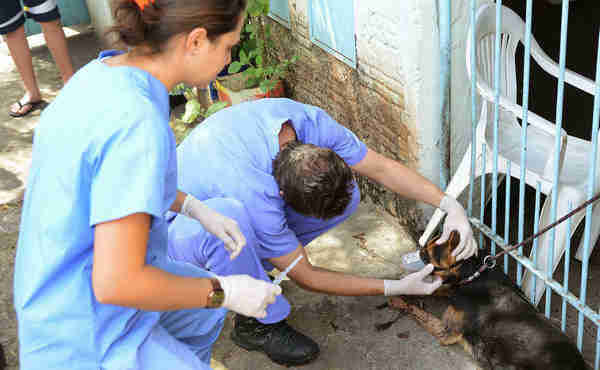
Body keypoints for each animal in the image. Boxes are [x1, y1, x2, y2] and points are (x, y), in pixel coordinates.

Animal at [390, 231, 584, 370]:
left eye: (426, 254)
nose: (418, 251)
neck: (475, 273)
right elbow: (438, 290)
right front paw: (405, 289)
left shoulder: (447, 332)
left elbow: (416, 310)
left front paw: (397, 299)